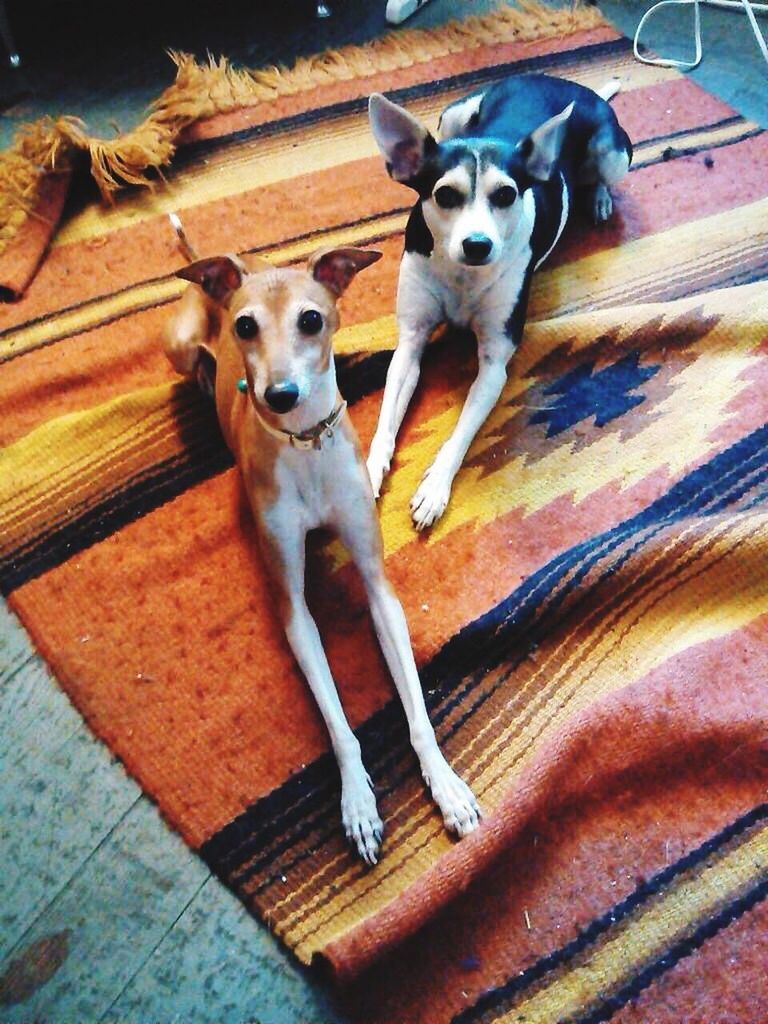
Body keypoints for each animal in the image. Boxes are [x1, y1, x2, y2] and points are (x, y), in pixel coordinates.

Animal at [163, 247, 481, 864]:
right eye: (245, 326)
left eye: (311, 319)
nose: (279, 394)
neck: (305, 444)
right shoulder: (293, 608)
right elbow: (338, 724)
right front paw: (357, 802)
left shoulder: (379, 585)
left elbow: (417, 713)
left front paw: (447, 786)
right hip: (179, 342)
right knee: (191, 361)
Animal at [370, 74, 634, 528]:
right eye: (445, 195)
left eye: (507, 195)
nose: (478, 244)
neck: (461, 275)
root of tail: (572, 85)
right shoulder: (410, 342)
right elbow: (387, 415)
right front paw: (367, 471)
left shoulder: (495, 364)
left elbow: (461, 432)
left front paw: (435, 488)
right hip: (454, 115)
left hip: (612, 152)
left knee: (602, 173)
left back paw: (599, 197)